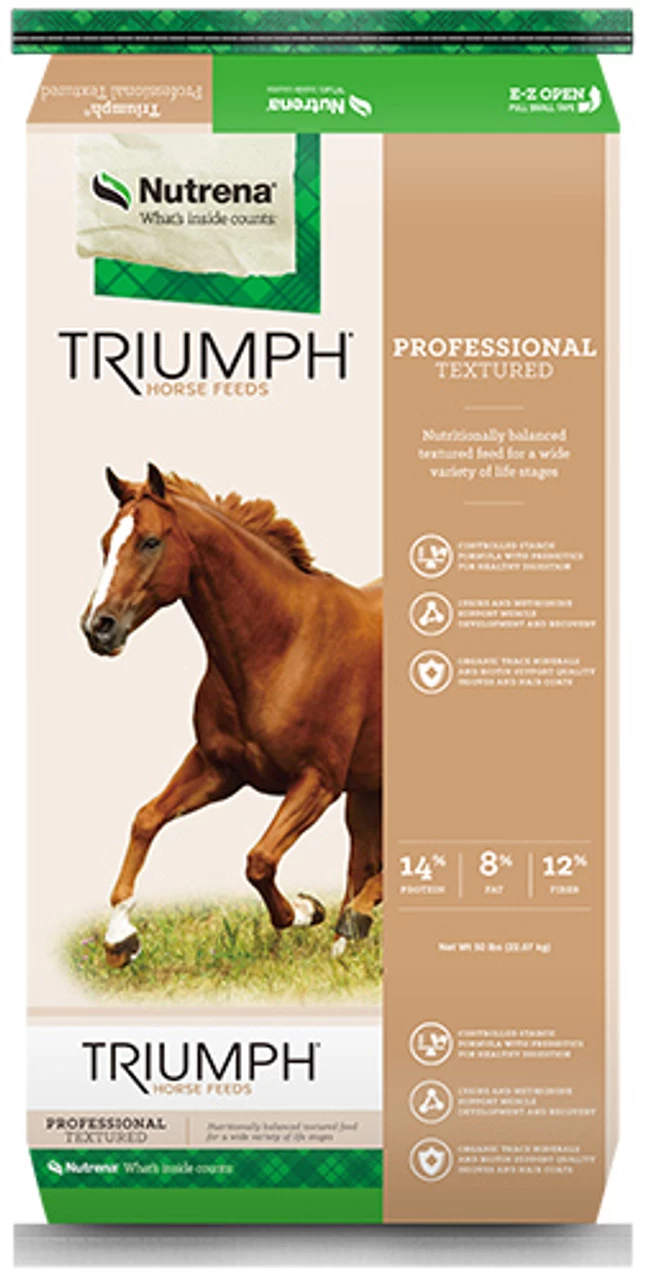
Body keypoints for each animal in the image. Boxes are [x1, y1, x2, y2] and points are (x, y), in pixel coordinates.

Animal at [81, 464, 382, 969]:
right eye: (106, 543)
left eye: (150, 541)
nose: (97, 628)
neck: (284, 644)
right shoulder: (219, 768)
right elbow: (146, 819)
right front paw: (121, 938)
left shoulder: (318, 781)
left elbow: (259, 860)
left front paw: (306, 910)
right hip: (365, 787)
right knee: (364, 853)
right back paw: (348, 935)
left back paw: (353, 919)